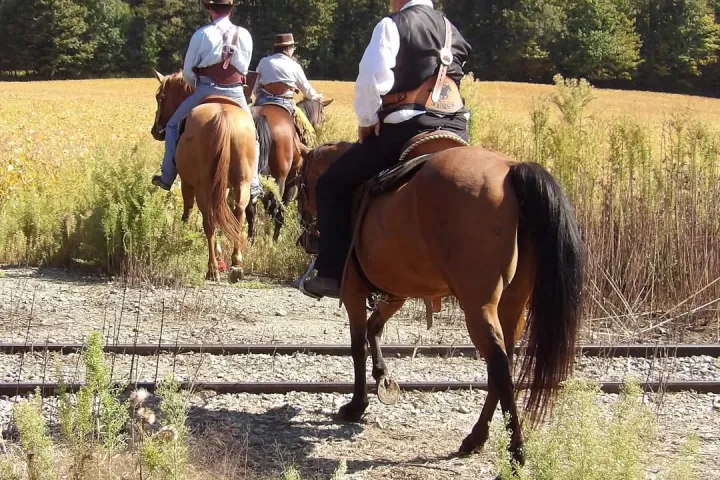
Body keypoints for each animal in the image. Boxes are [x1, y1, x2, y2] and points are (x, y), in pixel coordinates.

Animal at [151, 69, 264, 281]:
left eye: (160, 96)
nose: (155, 130)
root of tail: (223, 116)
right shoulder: (224, 187)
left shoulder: (188, 183)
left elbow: (188, 210)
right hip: (241, 184)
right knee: (238, 214)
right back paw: (236, 264)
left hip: (202, 187)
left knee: (209, 222)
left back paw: (212, 268)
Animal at [250, 97, 333, 241]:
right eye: (322, 112)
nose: (322, 124)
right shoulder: (293, 182)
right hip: (280, 180)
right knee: (274, 207)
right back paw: (270, 239)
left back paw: (251, 239)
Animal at [297, 140, 583, 467]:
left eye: (302, 183)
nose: (307, 239)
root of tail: (510, 170)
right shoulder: (397, 291)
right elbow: (375, 327)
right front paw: (382, 376)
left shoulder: (354, 291)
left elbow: (358, 345)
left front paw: (357, 406)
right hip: (513, 303)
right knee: (503, 365)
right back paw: (476, 438)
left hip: (478, 306)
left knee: (499, 366)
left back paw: (516, 452)